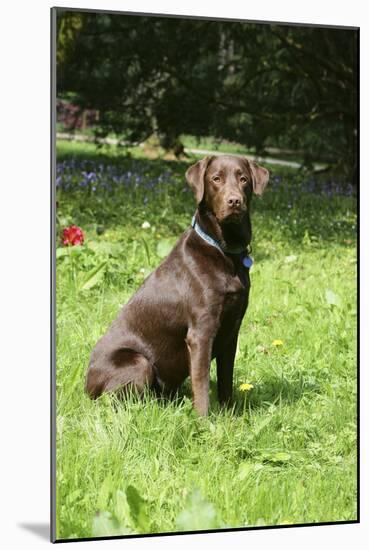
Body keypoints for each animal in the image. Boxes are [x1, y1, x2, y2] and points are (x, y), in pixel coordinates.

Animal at [85, 153, 268, 416]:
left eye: (243, 179)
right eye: (216, 179)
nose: (234, 201)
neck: (223, 250)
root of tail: (85, 386)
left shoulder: (232, 331)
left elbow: (226, 380)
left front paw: (230, 414)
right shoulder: (200, 333)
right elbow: (201, 383)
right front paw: (203, 420)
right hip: (138, 363)